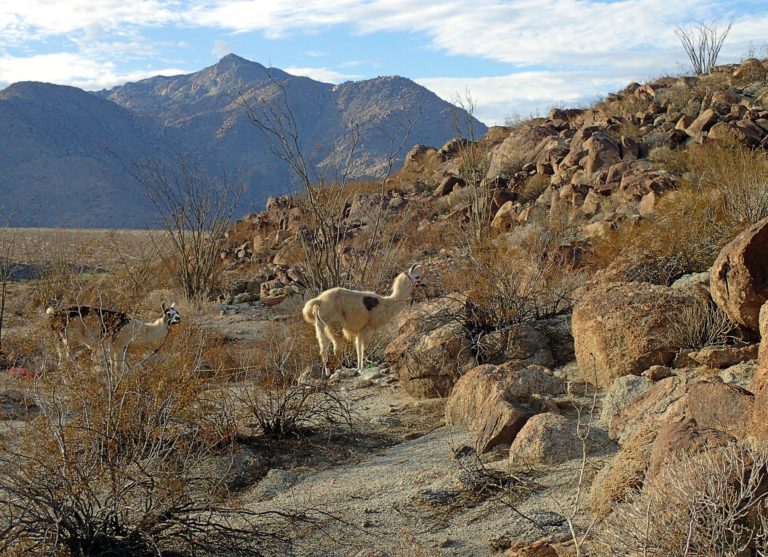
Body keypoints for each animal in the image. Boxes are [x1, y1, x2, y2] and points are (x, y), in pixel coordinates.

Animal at [46, 300, 182, 370]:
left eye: (177, 312)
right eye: (169, 313)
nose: (178, 319)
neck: (135, 327)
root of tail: (54, 315)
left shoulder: (113, 346)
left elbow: (113, 365)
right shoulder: (119, 344)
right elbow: (118, 366)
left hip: (60, 340)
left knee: (61, 360)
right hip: (71, 339)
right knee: (66, 361)